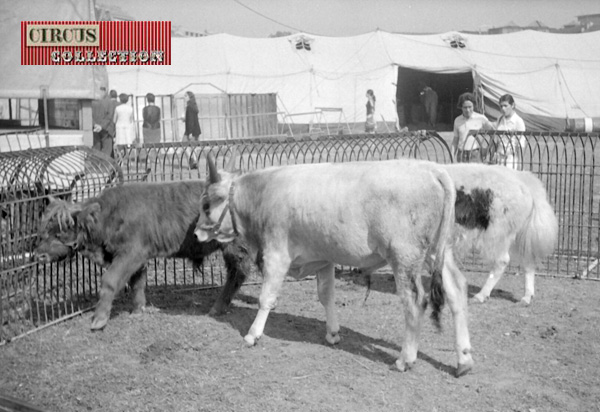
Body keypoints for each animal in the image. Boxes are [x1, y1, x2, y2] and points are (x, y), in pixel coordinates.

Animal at [35, 182, 251, 330]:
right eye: (44, 230)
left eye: (59, 233)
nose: (39, 256)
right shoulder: (138, 258)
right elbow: (137, 283)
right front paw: (138, 309)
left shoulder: (130, 254)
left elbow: (110, 281)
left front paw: (99, 319)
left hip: (235, 248)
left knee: (237, 274)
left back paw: (217, 307)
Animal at [196, 157, 474, 376]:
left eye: (206, 205)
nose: (197, 233)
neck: (264, 192)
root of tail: (431, 169)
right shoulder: (323, 258)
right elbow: (326, 295)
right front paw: (332, 333)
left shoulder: (276, 254)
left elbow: (267, 298)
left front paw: (252, 334)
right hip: (438, 251)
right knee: (457, 290)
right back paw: (464, 359)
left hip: (404, 257)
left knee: (414, 301)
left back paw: (405, 359)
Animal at [446, 163, 556, 304]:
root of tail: (522, 179)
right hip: (518, 236)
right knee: (528, 260)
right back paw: (526, 297)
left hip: (498, 234)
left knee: (502, 261)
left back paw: (481, 296)